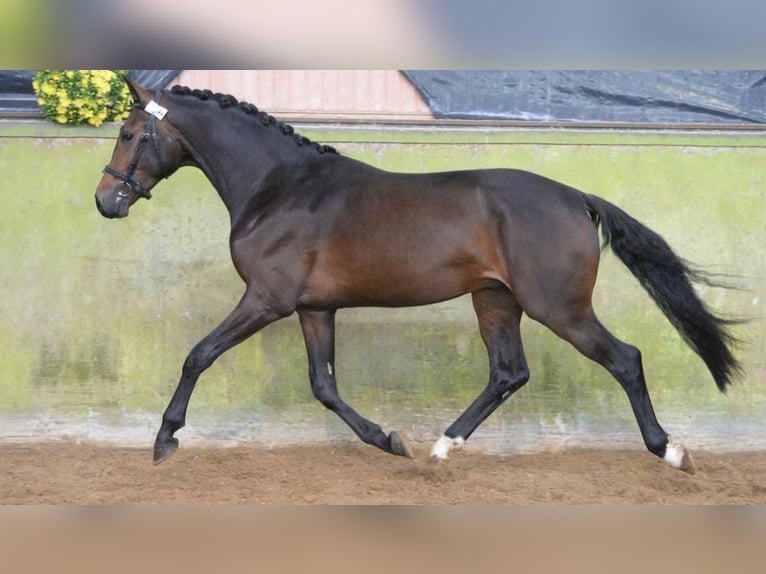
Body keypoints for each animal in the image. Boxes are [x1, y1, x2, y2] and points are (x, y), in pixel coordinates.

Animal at [95, 77, 741, 474]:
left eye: (128, 134)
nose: (106, 201)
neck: (280, 188)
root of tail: (575, 198)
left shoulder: (267, 300)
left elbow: (198, 355)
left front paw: (165, 439)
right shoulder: (314, 307)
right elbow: (324, 386)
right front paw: (389, 440)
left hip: (560, 307)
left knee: (624, 360)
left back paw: (670, 452)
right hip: (495, 300)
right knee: (508, 372)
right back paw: (440, 448)